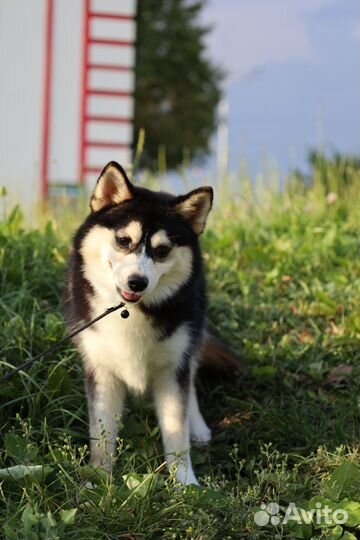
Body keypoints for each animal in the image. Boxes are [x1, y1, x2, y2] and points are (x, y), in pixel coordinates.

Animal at [67, 161, 236, 486]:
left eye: (162, 250)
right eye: (123, 241)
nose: (137, 281)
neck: (131, 312)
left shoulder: (173, 366)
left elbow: (176, 430)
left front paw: (186, 484)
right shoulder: (102, 370)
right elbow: (102, 434)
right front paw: (98, 478)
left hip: (192, 332)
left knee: (192, 373)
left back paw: (197, 425)